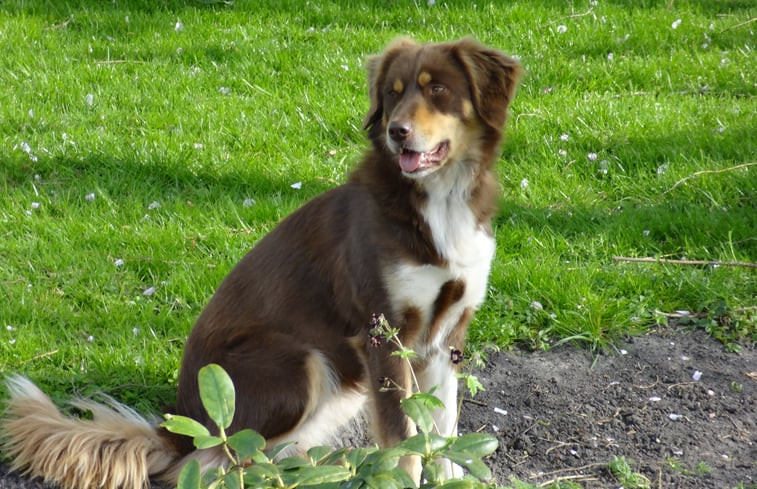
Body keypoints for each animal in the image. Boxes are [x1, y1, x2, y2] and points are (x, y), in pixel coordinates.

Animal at [1, 38, 520, 488]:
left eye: (438, 89)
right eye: (392, 94)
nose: (398, 133)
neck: (440, 202)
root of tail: (177, 425)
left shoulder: (447, 336)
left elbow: (443, 430)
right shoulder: (383, 336)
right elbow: (404, 439)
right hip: (300, 364)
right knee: (217, 459)